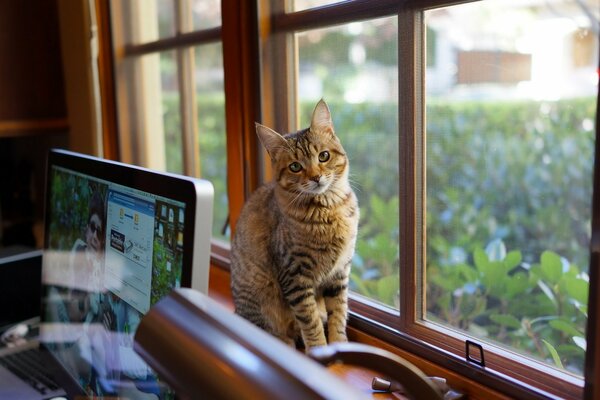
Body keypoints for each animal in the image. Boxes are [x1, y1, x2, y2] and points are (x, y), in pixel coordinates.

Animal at [231, 100, 358, 350]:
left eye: (324, 156)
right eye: (295, 167)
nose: (316, 177)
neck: (327, 211)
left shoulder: (339, 273)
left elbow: (338, 313)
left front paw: (339, 344)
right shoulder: (295, 275)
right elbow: (310, 321)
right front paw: (320, 350)